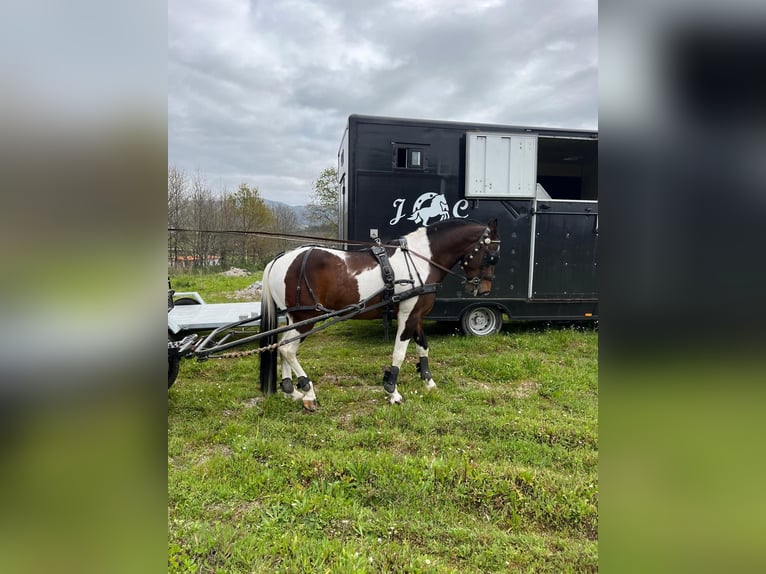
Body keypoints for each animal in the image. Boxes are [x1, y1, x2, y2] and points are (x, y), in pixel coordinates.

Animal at [258, 218, 500, 411]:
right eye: (491, 256)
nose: (484, 289)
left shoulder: (416, 315)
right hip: (306, 319)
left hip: (295, 319)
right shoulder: (406, 315)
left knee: (282, 346)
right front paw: (392, 391)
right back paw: (308, 392)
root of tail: (279, 259)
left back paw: (291, 390)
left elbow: (423, 347)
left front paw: (429, 383)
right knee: (287, 349)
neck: (420, 260)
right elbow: (399, 353)